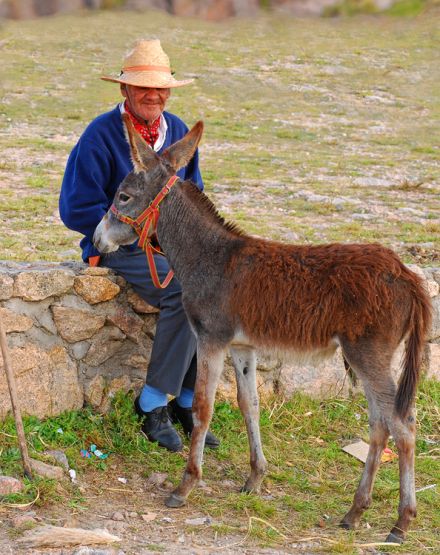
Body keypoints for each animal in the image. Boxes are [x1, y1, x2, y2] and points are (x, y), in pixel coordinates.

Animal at [93, 115, 434, 544]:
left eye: (122, 197)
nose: (96, 239)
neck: (210, 257)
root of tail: (405, 274)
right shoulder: (243, 347)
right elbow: (249, 404)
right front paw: (255, 477)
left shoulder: (211, 339)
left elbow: (203, 407)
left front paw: (186, 485)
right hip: (367, 357)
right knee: (379, 425)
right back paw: (355, 512)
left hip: (368, 354)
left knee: (402, 426)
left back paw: (401, 521)